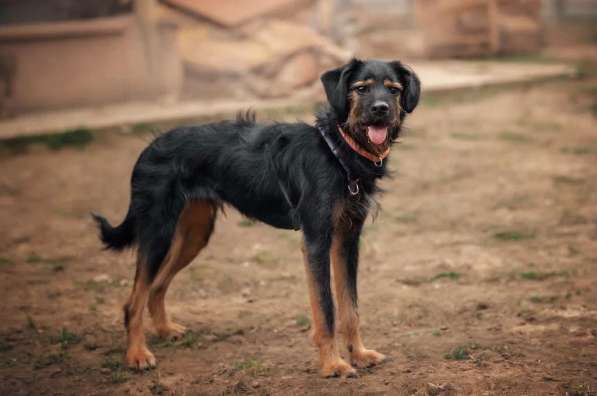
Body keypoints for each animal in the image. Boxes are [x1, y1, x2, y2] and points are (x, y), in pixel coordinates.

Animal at [92, 57, 420, 376]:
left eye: (393, 90)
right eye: (361, 88)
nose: (381, 110)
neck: (338, 151)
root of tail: (149, 147)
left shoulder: (347, 239)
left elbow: (350, 306)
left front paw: (359, 354)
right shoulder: (316, 240)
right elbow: (326, 308)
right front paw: (333, 364)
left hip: (195, 233)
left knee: (157, 286)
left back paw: (164, 329)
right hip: (158, 232)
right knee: (133, 301)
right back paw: (137, 354)